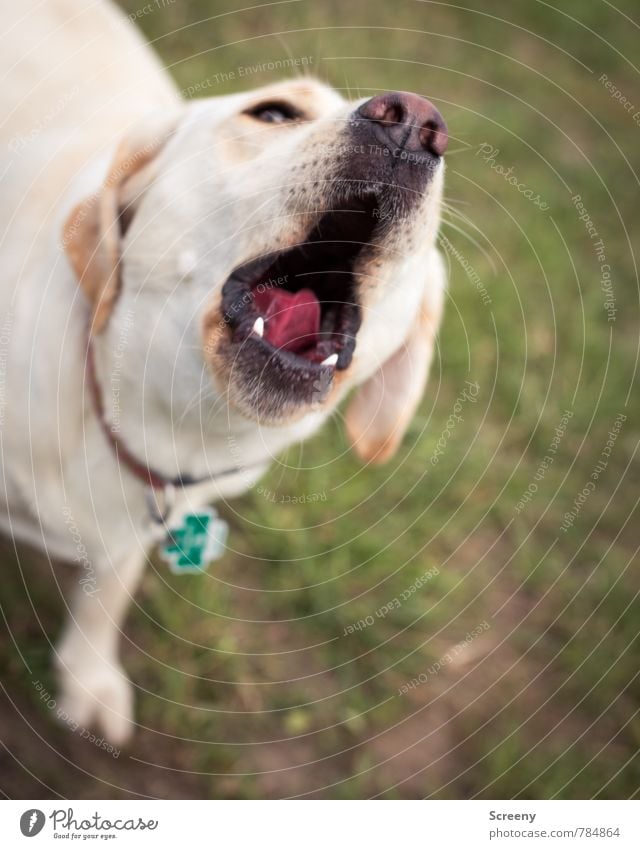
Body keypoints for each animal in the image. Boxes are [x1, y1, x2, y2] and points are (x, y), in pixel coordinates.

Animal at [0, 0, 448, 744]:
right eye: (272, 113)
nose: (414, 121)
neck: (162, 425)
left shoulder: (142, 526)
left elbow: (106, 590)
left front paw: (86, 674)